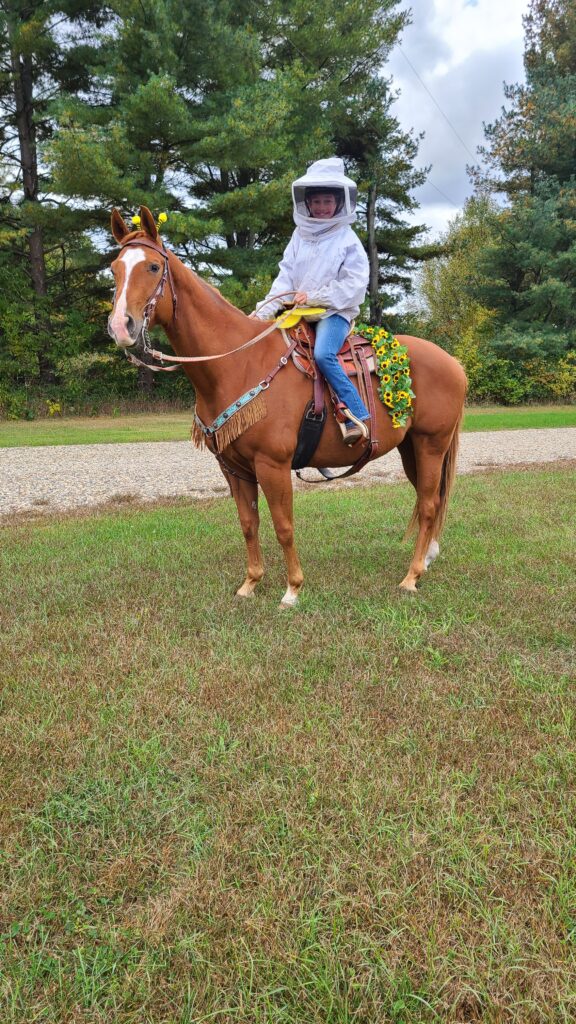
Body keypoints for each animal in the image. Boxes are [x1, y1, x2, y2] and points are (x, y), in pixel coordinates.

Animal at [107, 207, 467, 606]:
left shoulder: (272, 464)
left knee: (430, 504)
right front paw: (250, 583)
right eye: (114, 268)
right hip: (411, 448)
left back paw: (411, 576)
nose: (120, 326)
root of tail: (453, 363)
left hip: (431, 444)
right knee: (428, 500)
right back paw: (427, 558)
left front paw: (293, 588)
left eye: (153, 267)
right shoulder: (233, 468)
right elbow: (249, 524)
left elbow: (283, 525)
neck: (237, 364)